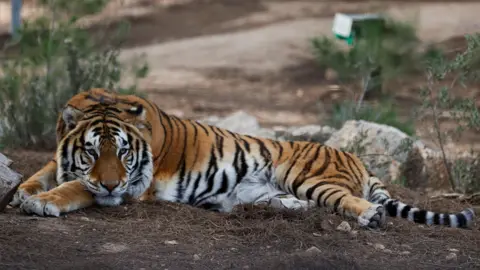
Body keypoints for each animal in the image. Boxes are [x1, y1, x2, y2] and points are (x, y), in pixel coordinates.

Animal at [9, 87, 474, 229]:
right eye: (91, 150)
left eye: (123, 152)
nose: (110, 182)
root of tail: (356, 158)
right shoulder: (59, 160)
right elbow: (43, 173)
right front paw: (23, 193)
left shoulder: (132, 188)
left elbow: (75, 188)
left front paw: (42, 202)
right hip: (258, 193)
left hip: (307, 175)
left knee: (350, 201)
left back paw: (369, 217)